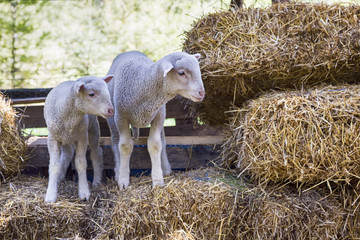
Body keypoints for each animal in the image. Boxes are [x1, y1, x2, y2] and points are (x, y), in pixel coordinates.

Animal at [105, 51, 204, 189]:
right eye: (181, 73)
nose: (202, 93)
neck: (141, 82)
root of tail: (129, 51)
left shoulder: (158, 116)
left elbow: (155, 145)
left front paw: (157, 180)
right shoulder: (121, 118)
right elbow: (125, 146)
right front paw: (123, 179)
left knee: (162, 140)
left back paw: (165, 168)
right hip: (112, 118)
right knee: (115, 141)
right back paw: (118, 170)